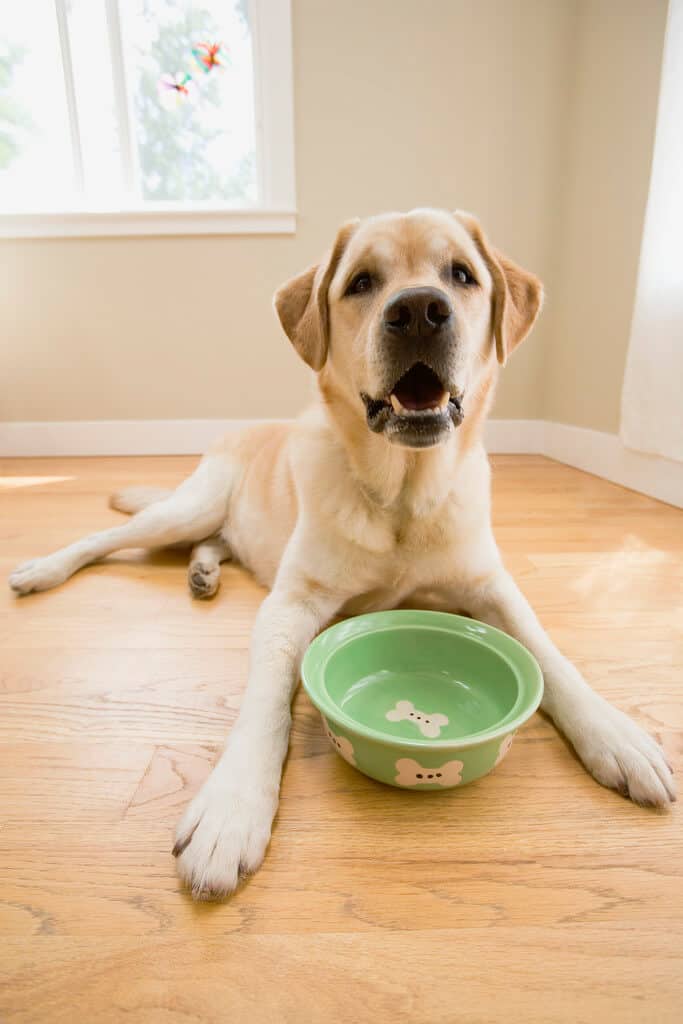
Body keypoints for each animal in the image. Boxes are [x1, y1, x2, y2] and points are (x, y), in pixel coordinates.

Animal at [7, 207, 675, 897]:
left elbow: (551, 654)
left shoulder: (490, 585)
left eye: (462, 275)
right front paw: (231, 808)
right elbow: (265, 700)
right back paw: (44, 569)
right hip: (185, 509)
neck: (402, 497)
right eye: (361, 283)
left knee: (213, 542)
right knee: (110, 538)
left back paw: (202, 573)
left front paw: (616, 734)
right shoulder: (291, 605)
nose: (418, 310)